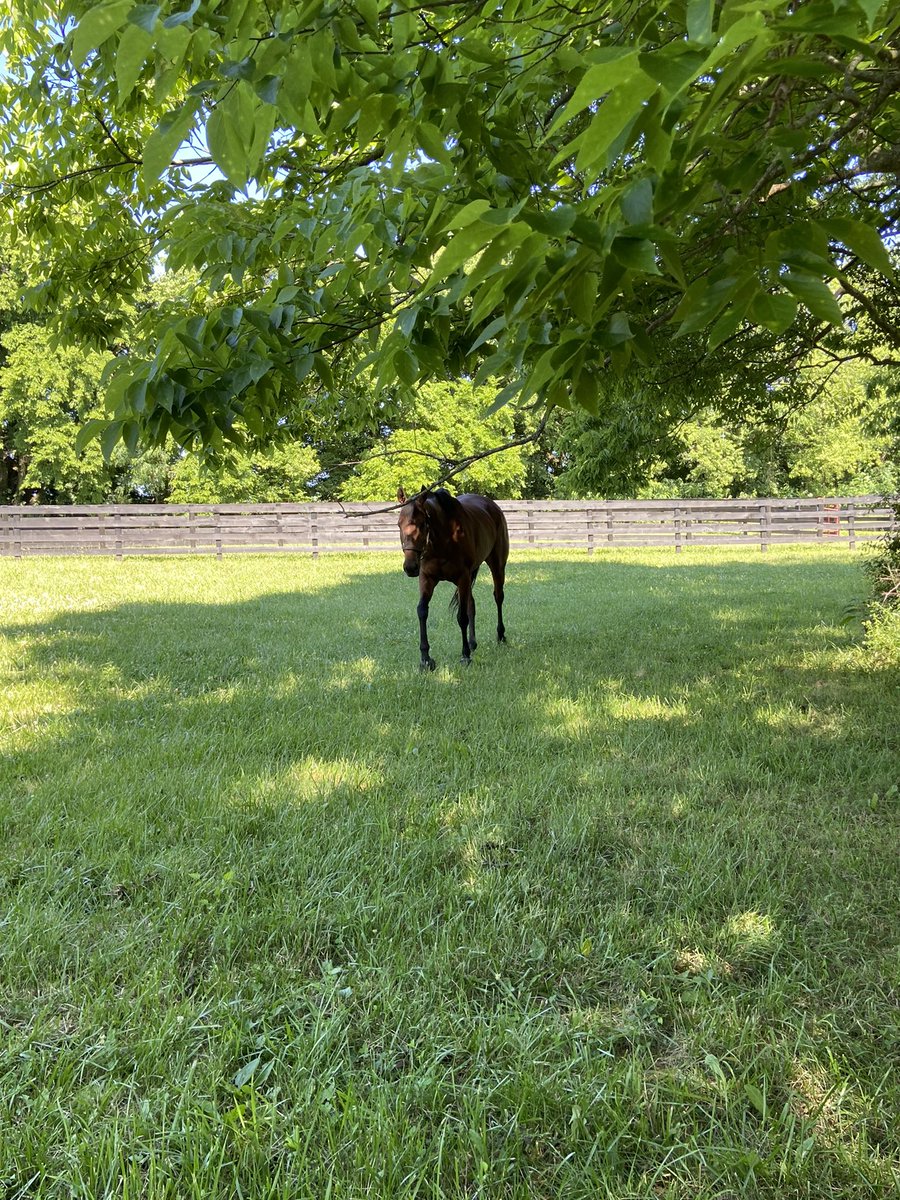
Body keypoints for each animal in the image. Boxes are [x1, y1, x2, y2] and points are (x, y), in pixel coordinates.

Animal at [396, 487, 509, 670]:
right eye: (399, 524)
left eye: (422, 524)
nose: (410, 567)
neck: (444, 539)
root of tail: (493, 507)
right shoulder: (427, 578)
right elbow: (422, 611)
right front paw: (425, 659)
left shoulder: (462, 577)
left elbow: (461, 617)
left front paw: (465, 656)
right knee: (471, 604)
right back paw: (472, 643)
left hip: (497, 566)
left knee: (498, 597)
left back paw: (500, 636)